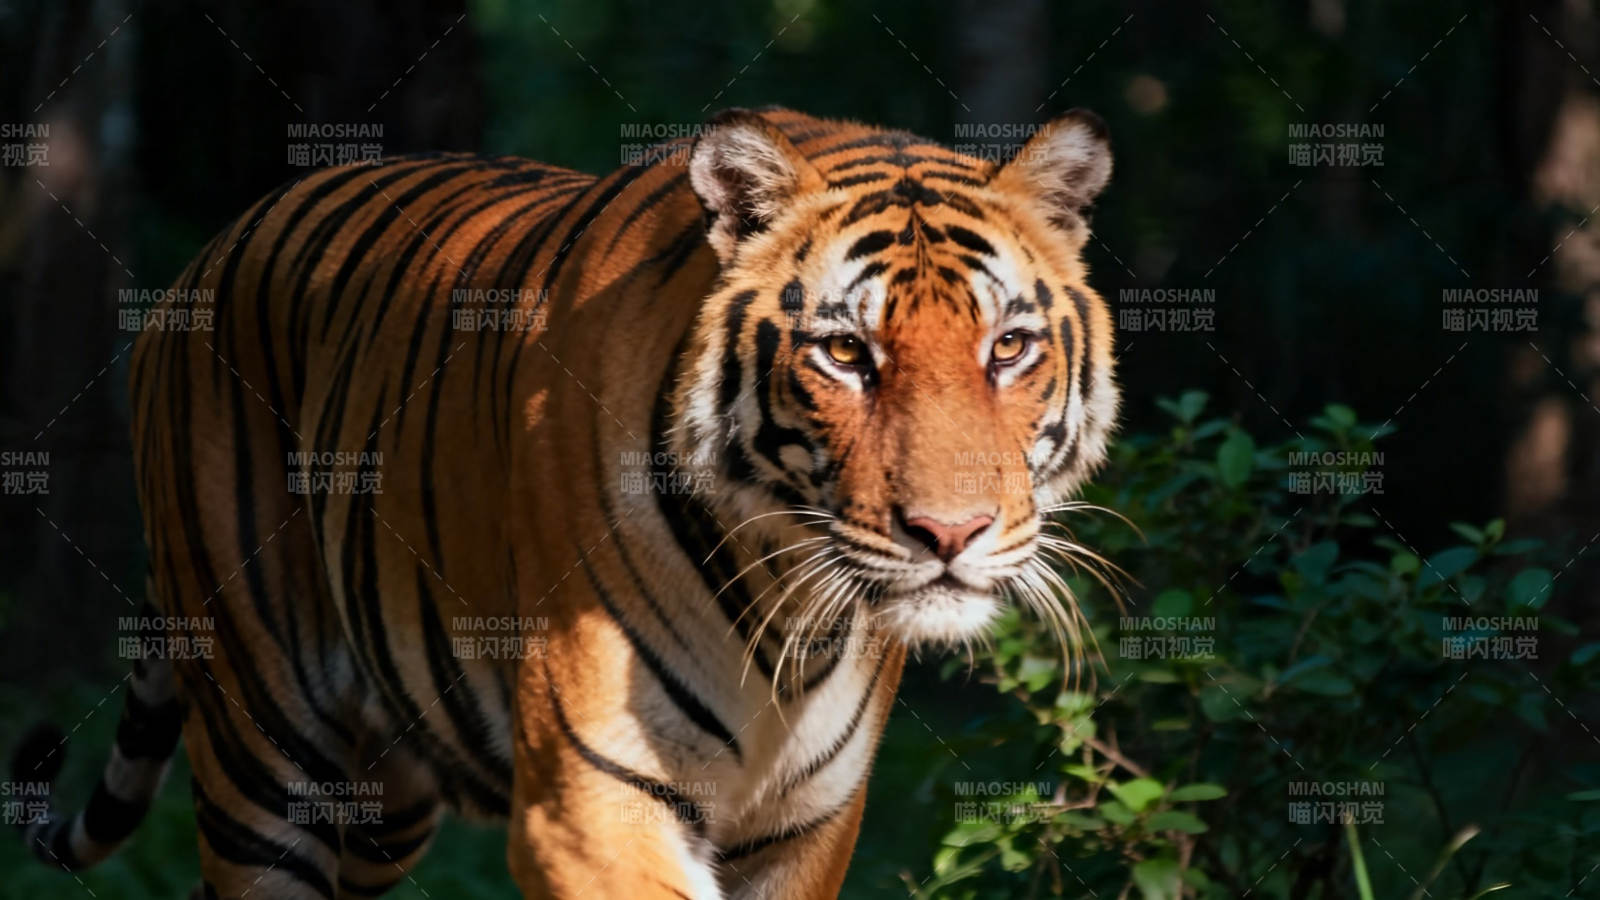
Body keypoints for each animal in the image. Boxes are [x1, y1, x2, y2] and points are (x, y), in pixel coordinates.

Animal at [11, 105, 1118, 898]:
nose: (950, 533)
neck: (789, 626)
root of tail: (209, 251)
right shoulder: (593, 806)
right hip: (263, 758)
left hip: (385, 803)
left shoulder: (805, 832)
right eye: (846, 353)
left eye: (1007, 347)